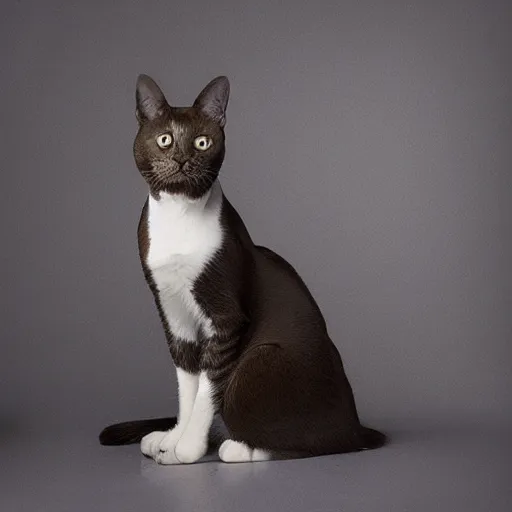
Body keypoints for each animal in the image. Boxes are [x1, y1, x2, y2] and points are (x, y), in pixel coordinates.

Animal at [98, 73, 386, 464]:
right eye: (165, 139)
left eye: (202, 142)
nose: (183, 159)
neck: (179, 216)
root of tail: (356, 426)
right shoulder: (172, 312)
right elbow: (188, 383)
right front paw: (175, 439)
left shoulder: (226, 319)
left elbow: (209, 388)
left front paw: (188, 448)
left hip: (260, 361)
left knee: (314, 441)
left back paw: (238, 447)